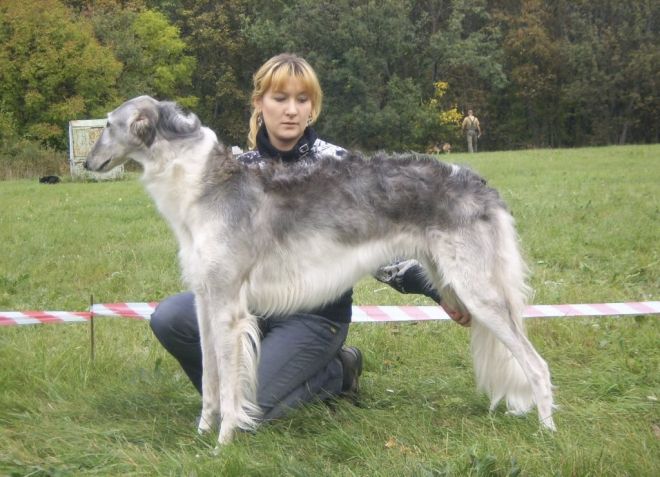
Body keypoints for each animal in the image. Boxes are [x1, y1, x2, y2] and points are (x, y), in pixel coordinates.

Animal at [85, 96, 556, 446]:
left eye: (107, 124)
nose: (88, 163)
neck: (204, 185)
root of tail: (480, 184)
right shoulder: (206, 300)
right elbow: (211, 380)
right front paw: (203, 432)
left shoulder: (229, 308)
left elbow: (231, 385)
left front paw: (223, 443)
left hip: (481, 294)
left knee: (537, 365)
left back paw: (547, 429)